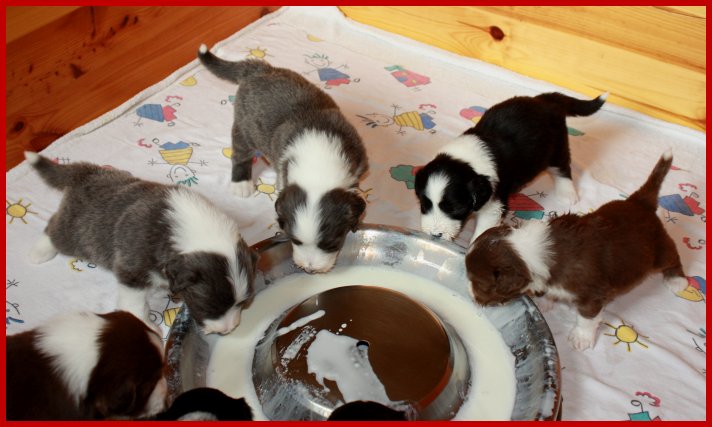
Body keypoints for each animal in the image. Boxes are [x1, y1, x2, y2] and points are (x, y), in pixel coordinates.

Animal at [25, 152, 258, 335]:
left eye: (243, 303)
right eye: (211, 307)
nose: (228, 330)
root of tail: (85, 172)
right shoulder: (132, 271)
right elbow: (135, 304)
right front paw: (145, 325)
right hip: (76, 232)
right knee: (53, 228)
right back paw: (39, 253)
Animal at [198, 44, 368, 274]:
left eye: (331, 244)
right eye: (294, 240)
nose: (309, 269)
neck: (318, 168)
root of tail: (259, 69)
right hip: (245, 127)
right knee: (240, 153)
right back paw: (241, 184)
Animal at [414, 92, 607, 244]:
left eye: (455, 209)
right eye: (424, 205)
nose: (435, 234)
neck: (464, 161)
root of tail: (544, 99)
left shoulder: (493, 204)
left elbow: (483, 229)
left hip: (557, 146)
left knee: (562, 169)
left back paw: (567, 194)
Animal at [466, 151, 688, 350]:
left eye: (479, 283)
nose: (470, 296)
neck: (527, 249)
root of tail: (639, 201)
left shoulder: (593, 294)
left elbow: (586, 318)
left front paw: (581, 338)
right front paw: (545, 301)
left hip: (658, 250)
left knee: (674, 257)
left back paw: (677, 281)